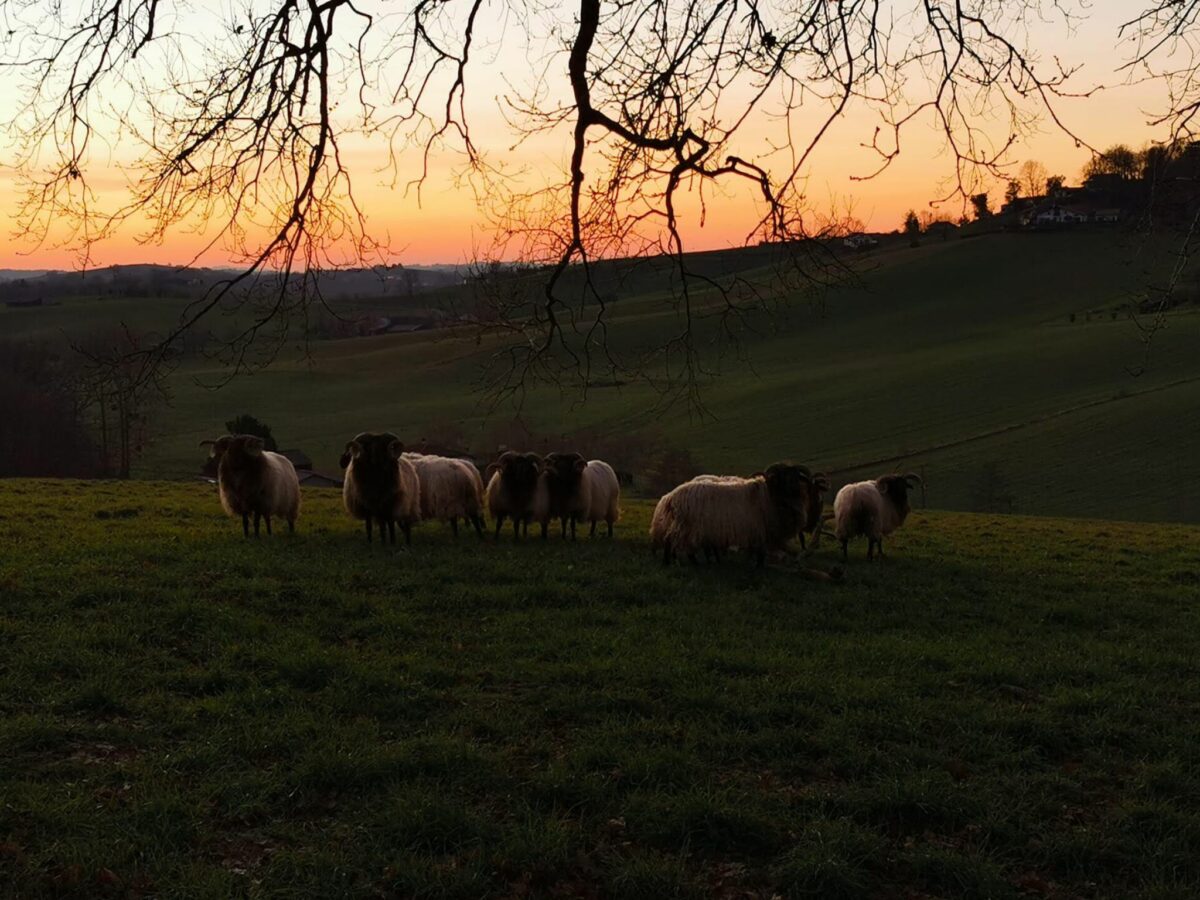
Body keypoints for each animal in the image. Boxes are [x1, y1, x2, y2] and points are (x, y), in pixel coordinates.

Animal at [648, 465, 816, 571]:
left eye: (795, 478)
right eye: (781, 478)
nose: (792, 489)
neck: (769, 496)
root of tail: (671, 496)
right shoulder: (760, 530)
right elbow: (760, 552)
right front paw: (759, 567)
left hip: (687, 527)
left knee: (672, 541)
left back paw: (674, 562)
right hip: (689, 527)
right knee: (675, 543)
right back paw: (681, 563)